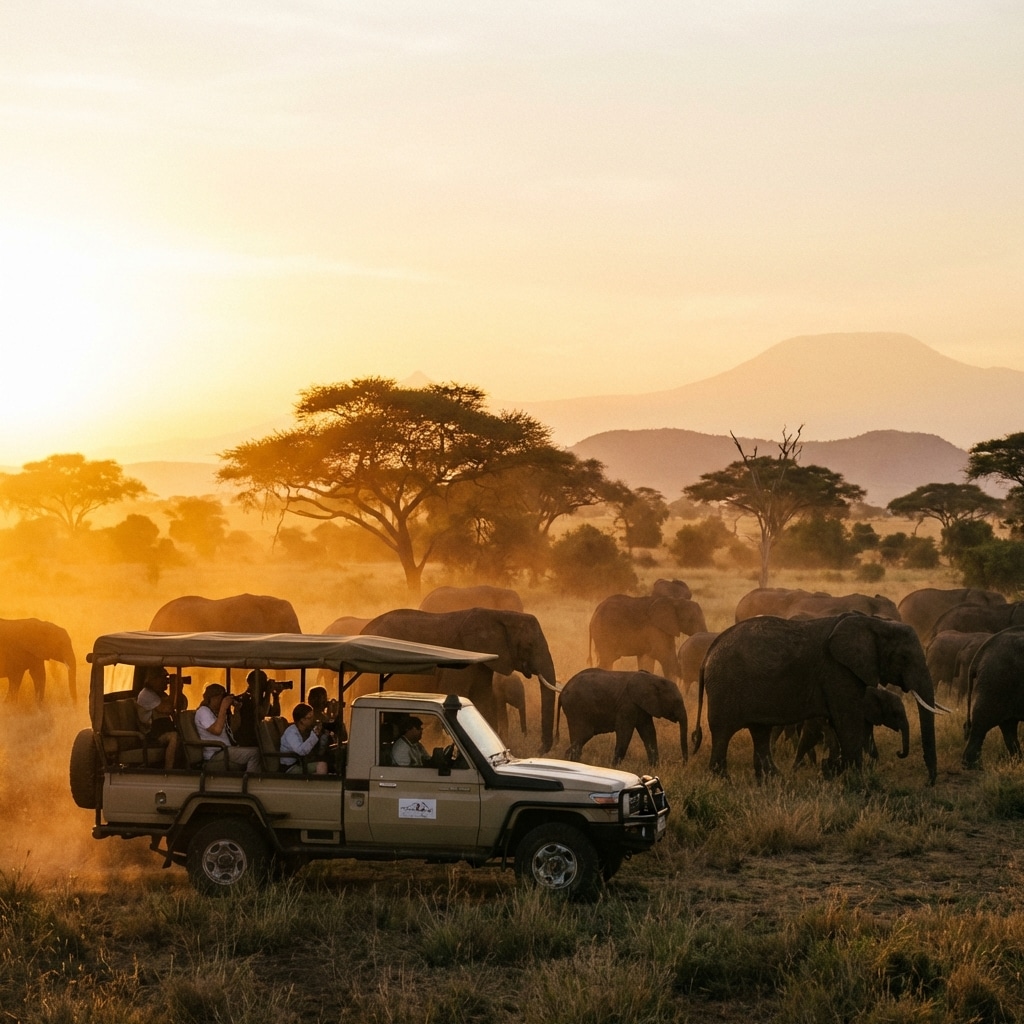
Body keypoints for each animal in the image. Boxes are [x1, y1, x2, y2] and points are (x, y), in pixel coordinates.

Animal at [360, 608, 558, 752]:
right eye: (529, 645)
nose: (540, 748)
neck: (498, 614)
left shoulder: (482, 664)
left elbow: (483, 701)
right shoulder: (459, 659)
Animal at [558, 668, 688, 767]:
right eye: (677, 702)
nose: (683, 764)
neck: (653, 678)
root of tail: (563, 689)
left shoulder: (642, 707)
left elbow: (649, 732)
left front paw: (654, 769)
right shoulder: (627, 704)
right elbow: (625, 731)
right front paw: (613, 768)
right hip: (577, 708)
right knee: (586, 733)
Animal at [692, 614, 942, 784]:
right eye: (904, 657)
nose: (929, 782)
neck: (873, 622)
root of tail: (708, 653)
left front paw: (833, 772)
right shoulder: (837, 671)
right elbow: (848, 721)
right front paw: (853, 778)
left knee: (760, 731)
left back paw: (775, 780)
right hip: (725, 687)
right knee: (723, 732)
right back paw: (723, 780)